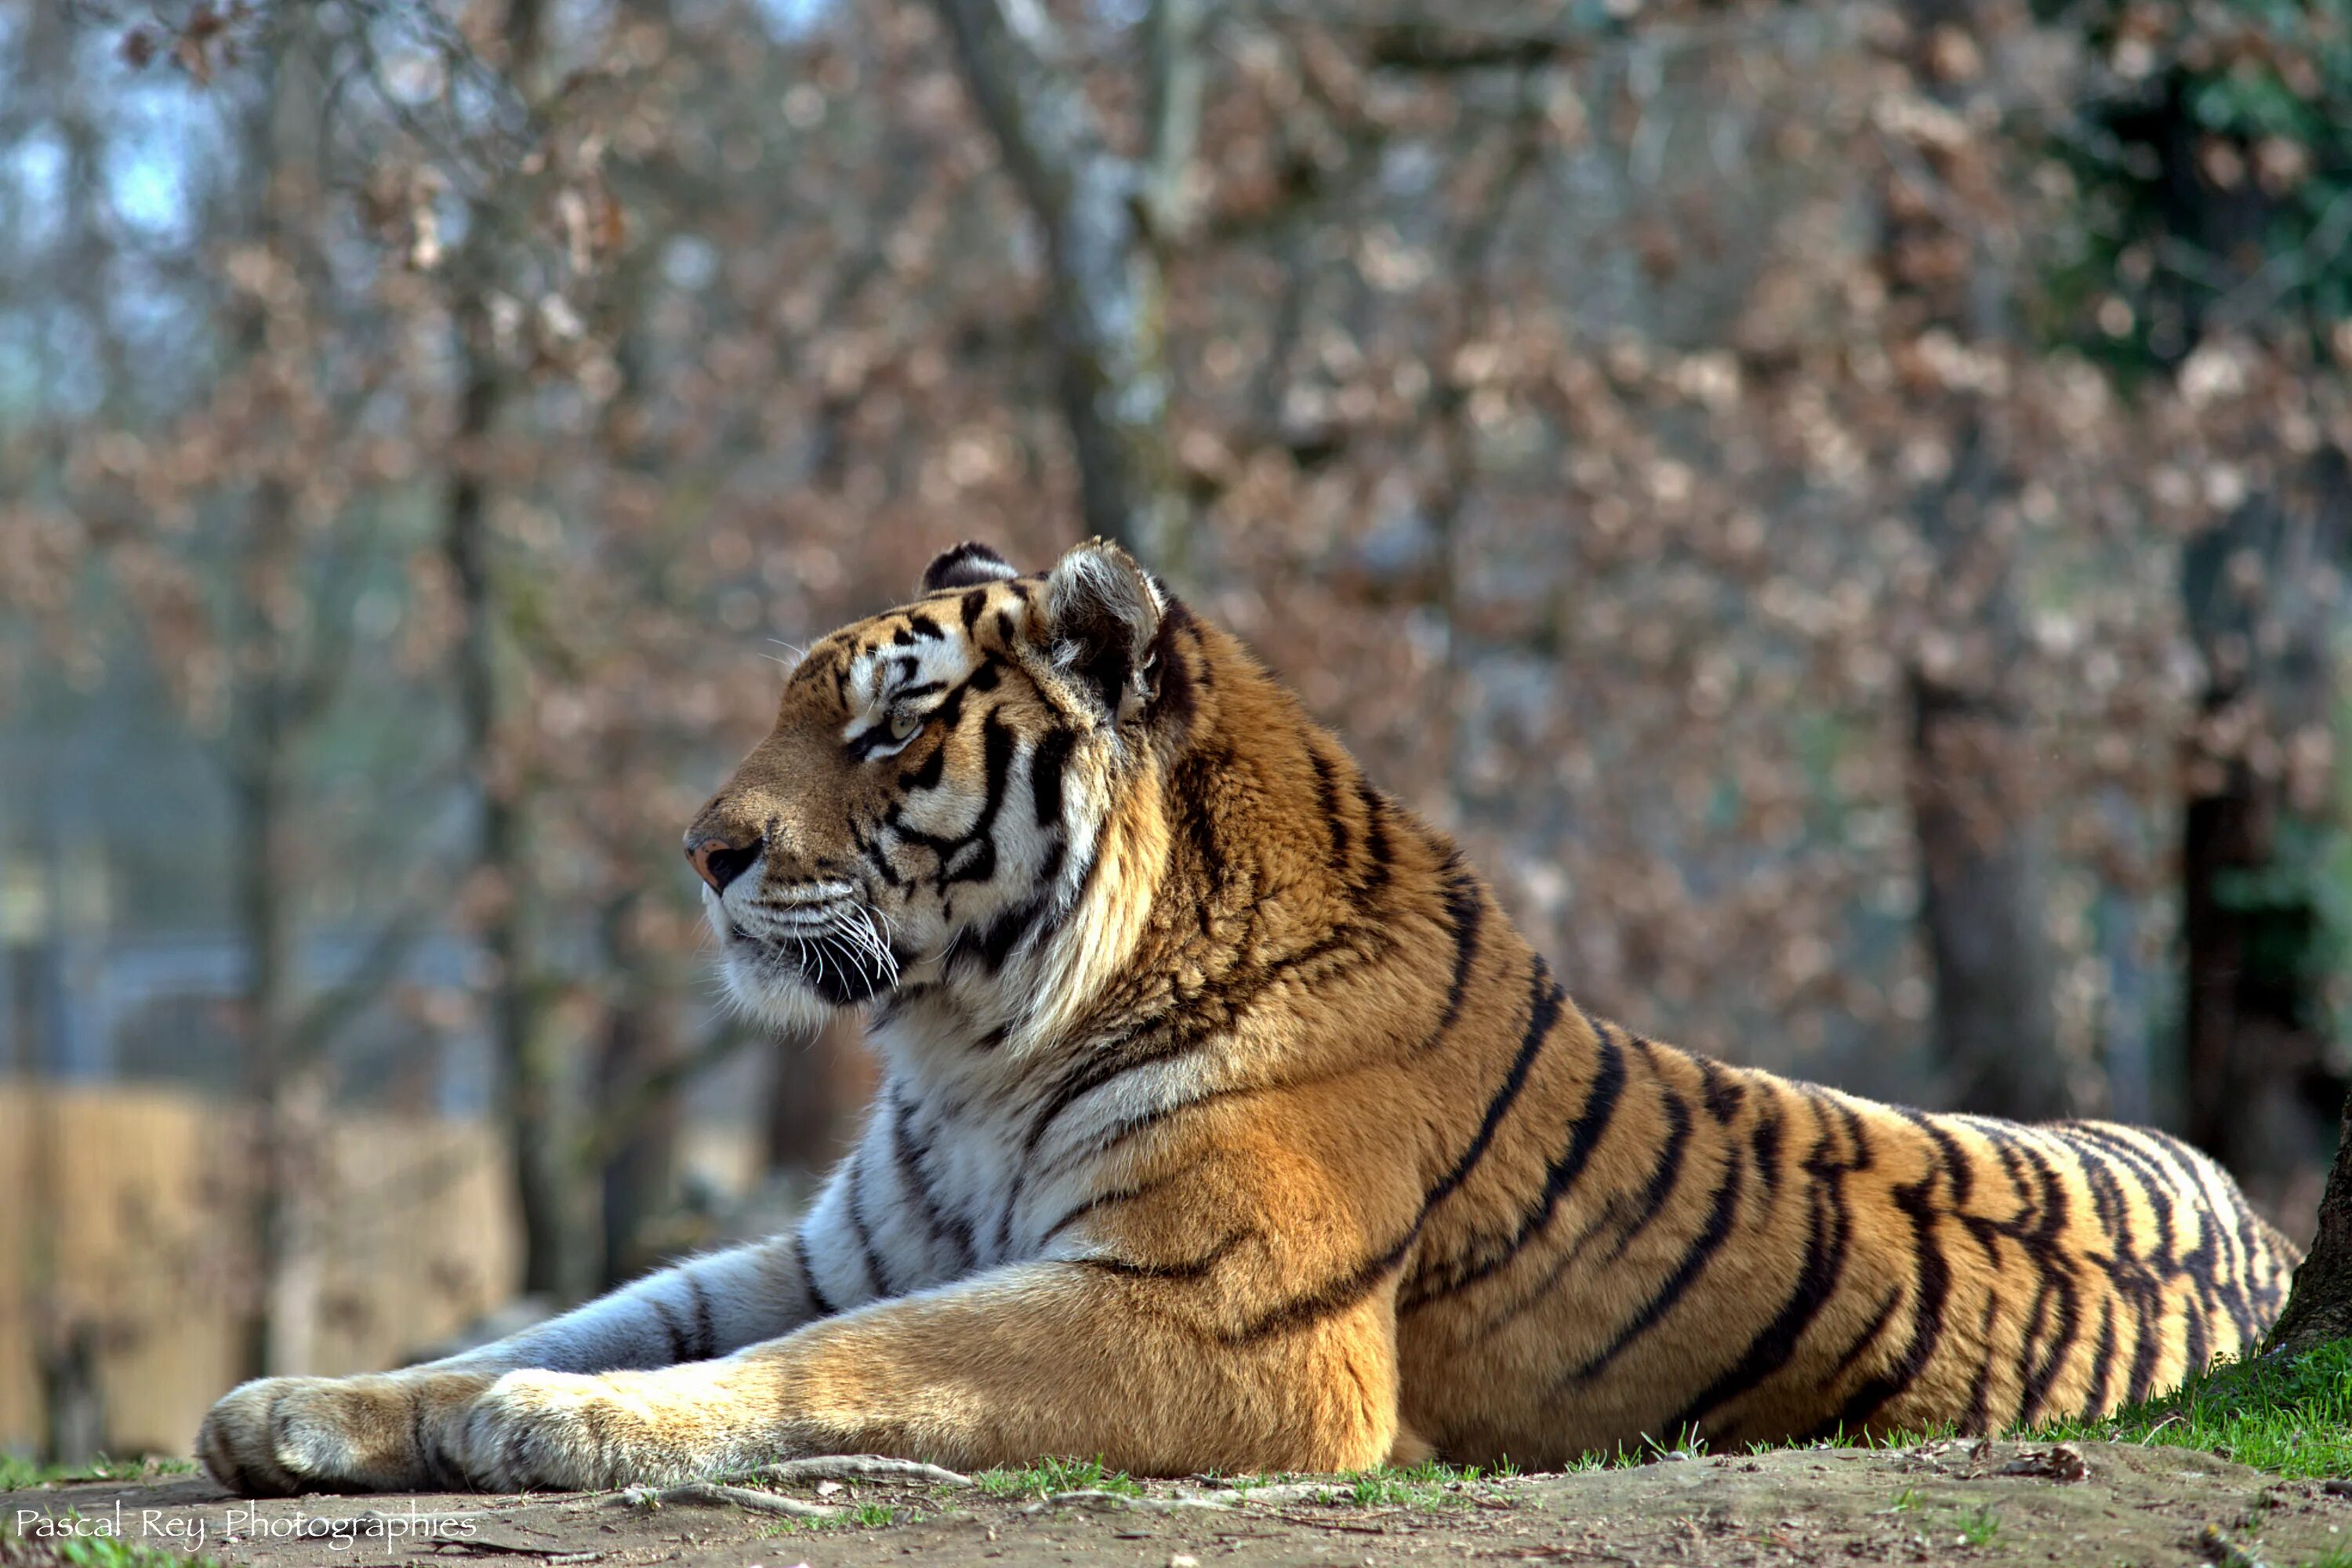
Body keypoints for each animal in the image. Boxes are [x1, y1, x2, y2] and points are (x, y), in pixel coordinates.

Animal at [198, 540, 2296, 1495]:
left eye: (882, 728)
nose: (699, 849)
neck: (975, 1043)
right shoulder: (833, 1241)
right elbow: (591, 1308)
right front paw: (312, 1406)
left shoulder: (1222, 1317)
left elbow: (849, 1360)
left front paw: (556, 1425)